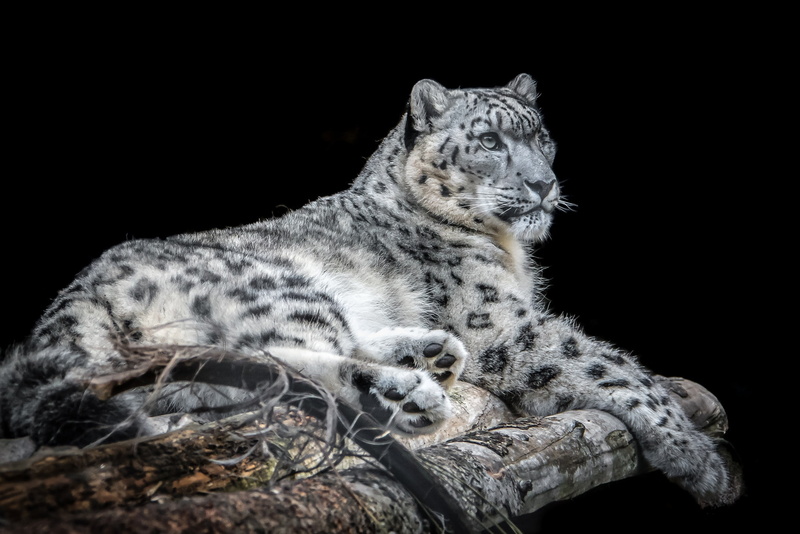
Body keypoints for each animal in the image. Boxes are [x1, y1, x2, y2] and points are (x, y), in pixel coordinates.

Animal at [0, 73, 740, 508]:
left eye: (543, 137)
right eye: (489, 141)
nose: (542, 185)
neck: (510, 250)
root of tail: (69, 304)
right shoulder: (503, 325)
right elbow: (607, 364)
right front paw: (702, 461)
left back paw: (426, 354)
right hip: (284, 287)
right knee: (285, 370)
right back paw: (409, 391)